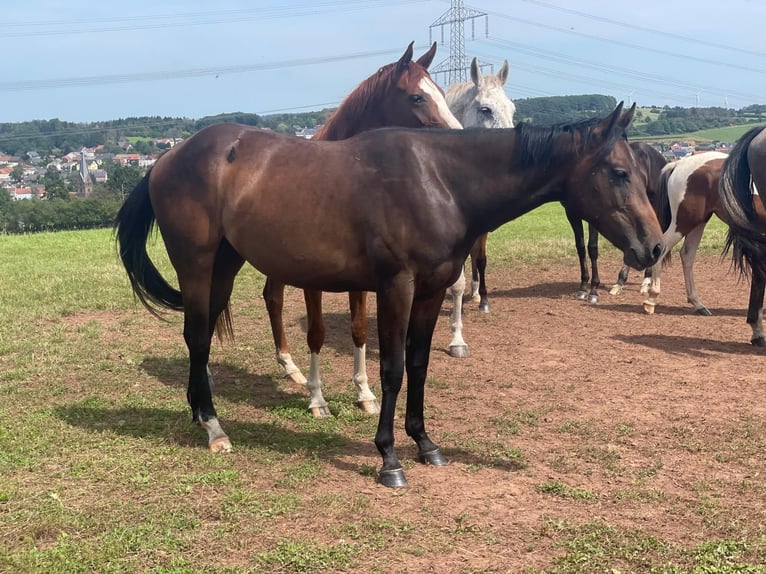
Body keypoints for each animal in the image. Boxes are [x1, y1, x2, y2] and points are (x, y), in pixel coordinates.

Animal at [115, 101, 664, 488]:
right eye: (618, 173)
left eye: (640, 172)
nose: (655, 246)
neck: (441, 181)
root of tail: (166, 158)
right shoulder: (396, 287)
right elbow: (393, 368)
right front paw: (389, 457)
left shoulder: (431, 291)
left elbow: (419, 365)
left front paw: (425, 442)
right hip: (197, 265)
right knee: (196, 336)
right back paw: (213, 427)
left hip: (225, 266)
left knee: (201, 335)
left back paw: (199, 413)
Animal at [262, 41, 462, 418]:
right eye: (416, 97)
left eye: (443, 92)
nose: (460, 140)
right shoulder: (313, 280)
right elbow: (317, 332)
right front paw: (317, 400)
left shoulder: (365, 278)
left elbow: (359, 330)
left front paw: (365, 393)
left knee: (272, 295)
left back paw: (290, 368)